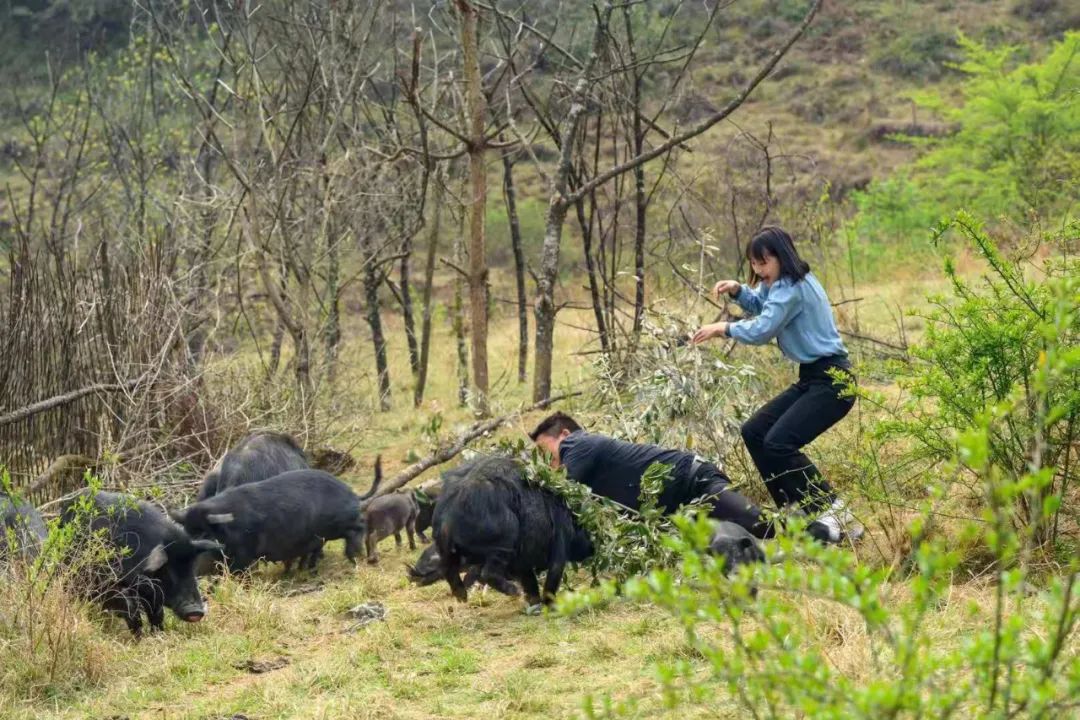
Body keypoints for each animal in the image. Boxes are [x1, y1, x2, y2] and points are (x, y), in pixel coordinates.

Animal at [59, 490, 223, 634]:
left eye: (191, 569)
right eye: (168, 570)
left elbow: (157, 613)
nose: (196, 611)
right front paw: (138, 638)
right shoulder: (110, 581)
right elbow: (130, 608)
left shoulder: (150, 591)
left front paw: (158, 635)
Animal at [172, 462, 384, 574]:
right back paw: (306, 568)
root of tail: (351, 493)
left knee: (359, 525)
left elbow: (239, 570)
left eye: (205, 533)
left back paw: (353, 556)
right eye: (188, 531)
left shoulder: (244, 552)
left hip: (337, 523)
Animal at [427, 455, 591, 608]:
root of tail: (447, 516)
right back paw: (513, 591)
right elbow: (553, 573)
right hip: (505, 537)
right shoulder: (560, 538)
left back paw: (462, 596)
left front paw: (534, 602)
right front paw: (551, 605)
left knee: (448, 569)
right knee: (488, 572)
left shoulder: (523, 560)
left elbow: (529, 579)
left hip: (446, 549)